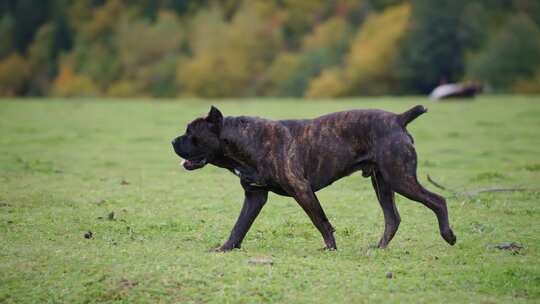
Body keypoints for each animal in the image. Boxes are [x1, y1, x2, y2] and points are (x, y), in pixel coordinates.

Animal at [172, 105, 456, 251]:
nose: (173, 141)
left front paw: (330, 248)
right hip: (383, 184)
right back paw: (379, 247)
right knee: (393, 218)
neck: (244, 141)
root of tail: (398, 119)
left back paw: (448, 235)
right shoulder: (255, 196)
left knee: (438, 200)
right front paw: (226, 248)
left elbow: (320, 221)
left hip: (400, 179)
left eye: (191, 133)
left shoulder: (302, 190)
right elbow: (239, 226)